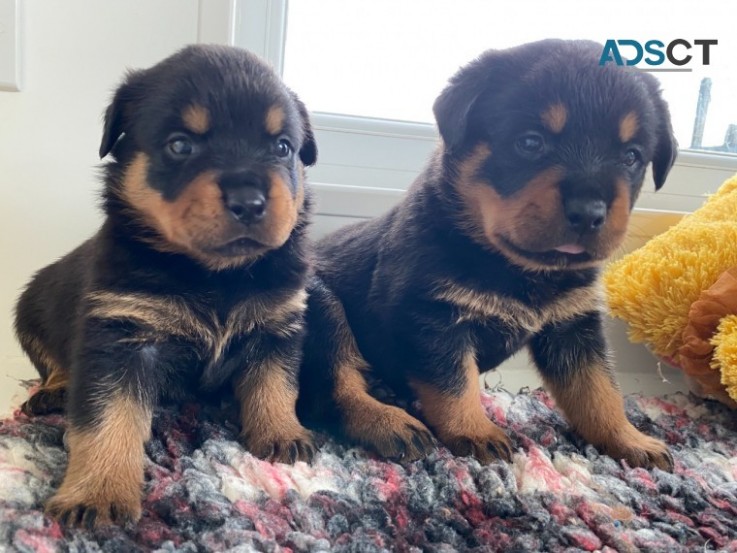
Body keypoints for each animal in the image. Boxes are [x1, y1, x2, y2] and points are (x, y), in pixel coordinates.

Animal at [14, 44, 318, 528]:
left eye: (283, 147)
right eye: (180, 145)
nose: (249, 202)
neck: (215, 274)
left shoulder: (278, 323)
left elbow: (276, 384)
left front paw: (281, 432)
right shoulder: (121, 335)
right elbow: (108, 419)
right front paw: (98, 492)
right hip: (29, 308)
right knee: (53, 362)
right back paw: (54, 390)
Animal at [296, 38, 676, 470]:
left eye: (631, 156)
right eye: (530, 142)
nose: (589, 213)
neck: (516, 268)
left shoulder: (573, 328)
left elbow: (599, 391)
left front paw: (628, 439)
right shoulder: (432, 317)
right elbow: (454, 382)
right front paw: (475, 431)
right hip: (324, 307)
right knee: (336, 386)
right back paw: (389, 421)